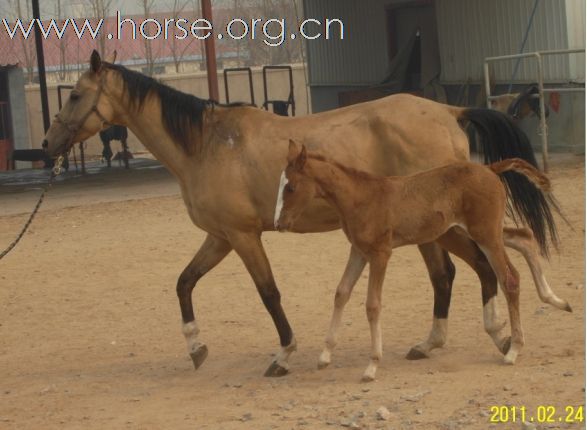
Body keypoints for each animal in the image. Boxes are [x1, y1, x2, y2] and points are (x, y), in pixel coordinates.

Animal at [276, 140, 568, 380]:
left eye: (290, 187)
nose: (279, 223)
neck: (361, 197)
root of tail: (490, 168)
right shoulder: (358, 251)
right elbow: (341, 292)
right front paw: (325, 356)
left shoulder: (380, 253)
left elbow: (372, 305)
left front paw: (372, 366)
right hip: (468, 231)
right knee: (524, 237)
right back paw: (556, 300)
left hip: (482, 233)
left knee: (509, 277)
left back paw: (514, 350)